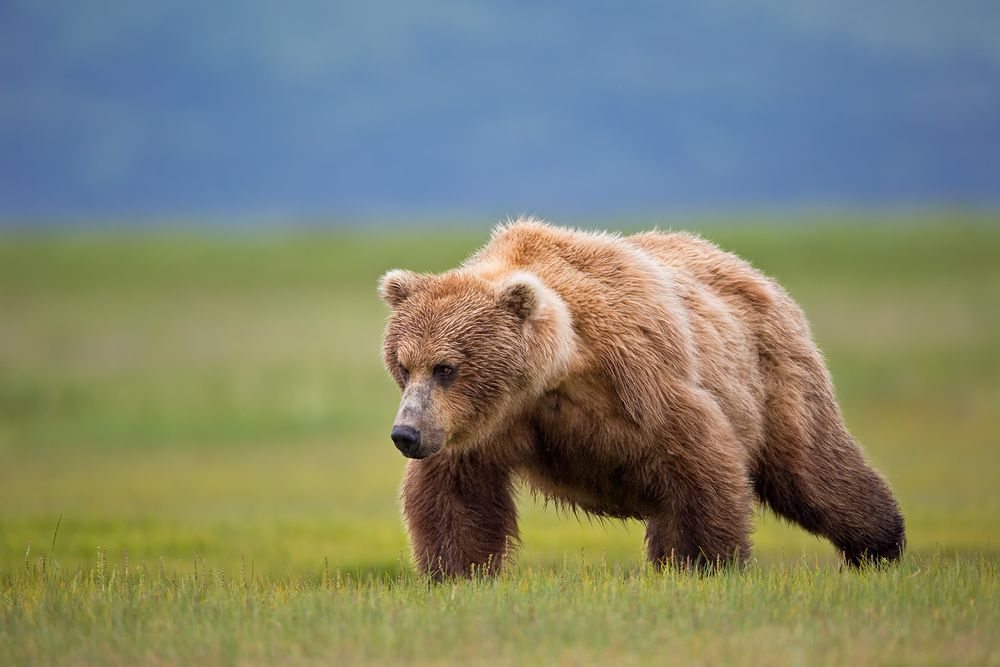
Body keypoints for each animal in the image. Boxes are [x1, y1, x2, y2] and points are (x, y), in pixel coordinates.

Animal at [378, 218, 905, 578]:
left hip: (773, 376)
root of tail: (751, 271)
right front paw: (455, 573)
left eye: (446, 367)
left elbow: (699, 463)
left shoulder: (638, 378)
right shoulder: (480, 426)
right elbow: (455, 497)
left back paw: (879, 545)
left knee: (812, 467)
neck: (554, 373)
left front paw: (704, 564)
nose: (406, 434)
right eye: (404, 365)